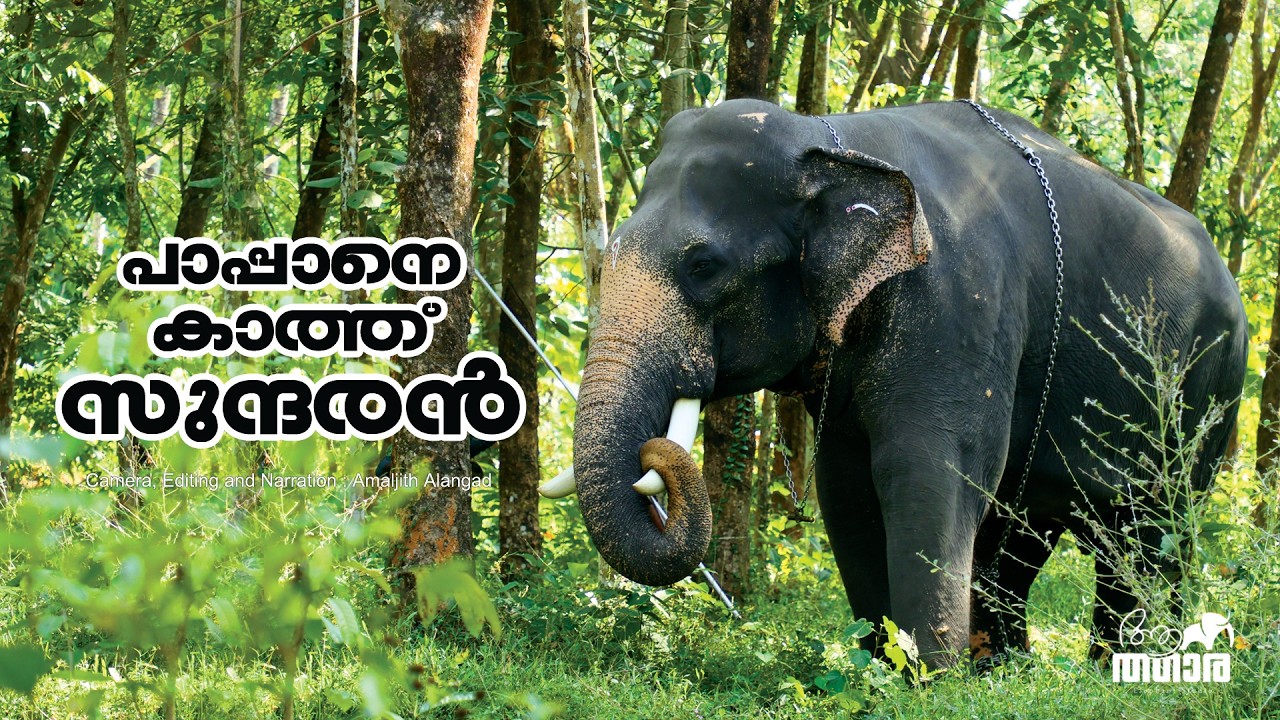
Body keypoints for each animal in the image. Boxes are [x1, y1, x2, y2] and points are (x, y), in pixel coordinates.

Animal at [555, 98, 1247, 669]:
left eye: (704, 266)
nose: (655, 455)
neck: (835, 143)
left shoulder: (959, 304)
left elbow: (926, 468)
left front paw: (931, 681)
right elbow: (848, 487)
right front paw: (885, 671)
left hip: (1209, 391)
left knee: (1152, 534)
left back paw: (1124, 671)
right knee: (1026, 539)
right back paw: (1009, 669)